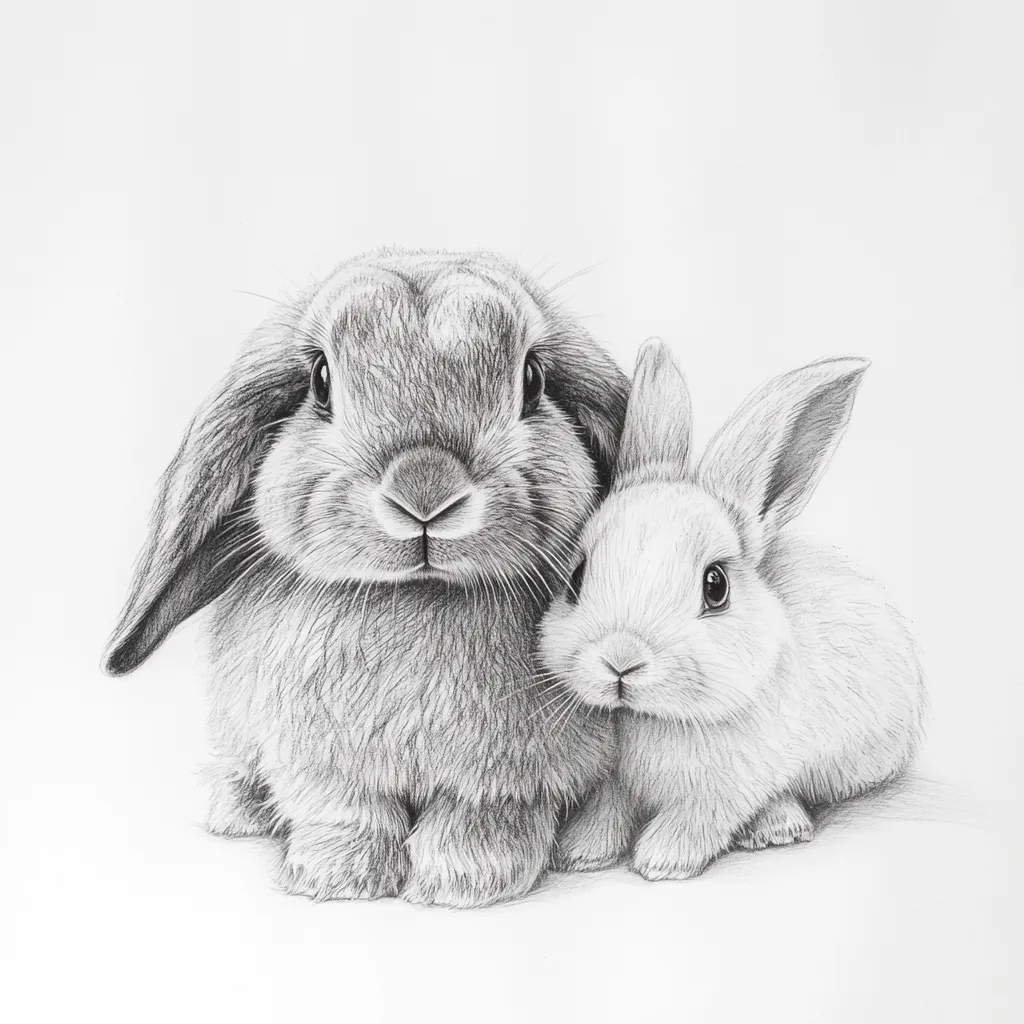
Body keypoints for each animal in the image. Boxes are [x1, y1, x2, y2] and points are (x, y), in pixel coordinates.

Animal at [103, 248, 628, 907]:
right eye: (320, 380)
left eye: (531, 379)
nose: (424, 489)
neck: (419, 598)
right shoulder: (315, 761)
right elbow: (346, 809)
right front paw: (336, 876)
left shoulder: (514, 776)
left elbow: (484, 814)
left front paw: (464, 880)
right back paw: (235, 813)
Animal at [537, 341, 926, 881]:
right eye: (576, 577)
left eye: (716, 586)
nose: (621, 660)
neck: (659, 717)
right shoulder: (617, 783)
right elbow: (607, 809)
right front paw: (580, 853)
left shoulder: (730, 786)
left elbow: (699, 816)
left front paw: (661, 861)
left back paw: (778, 826)